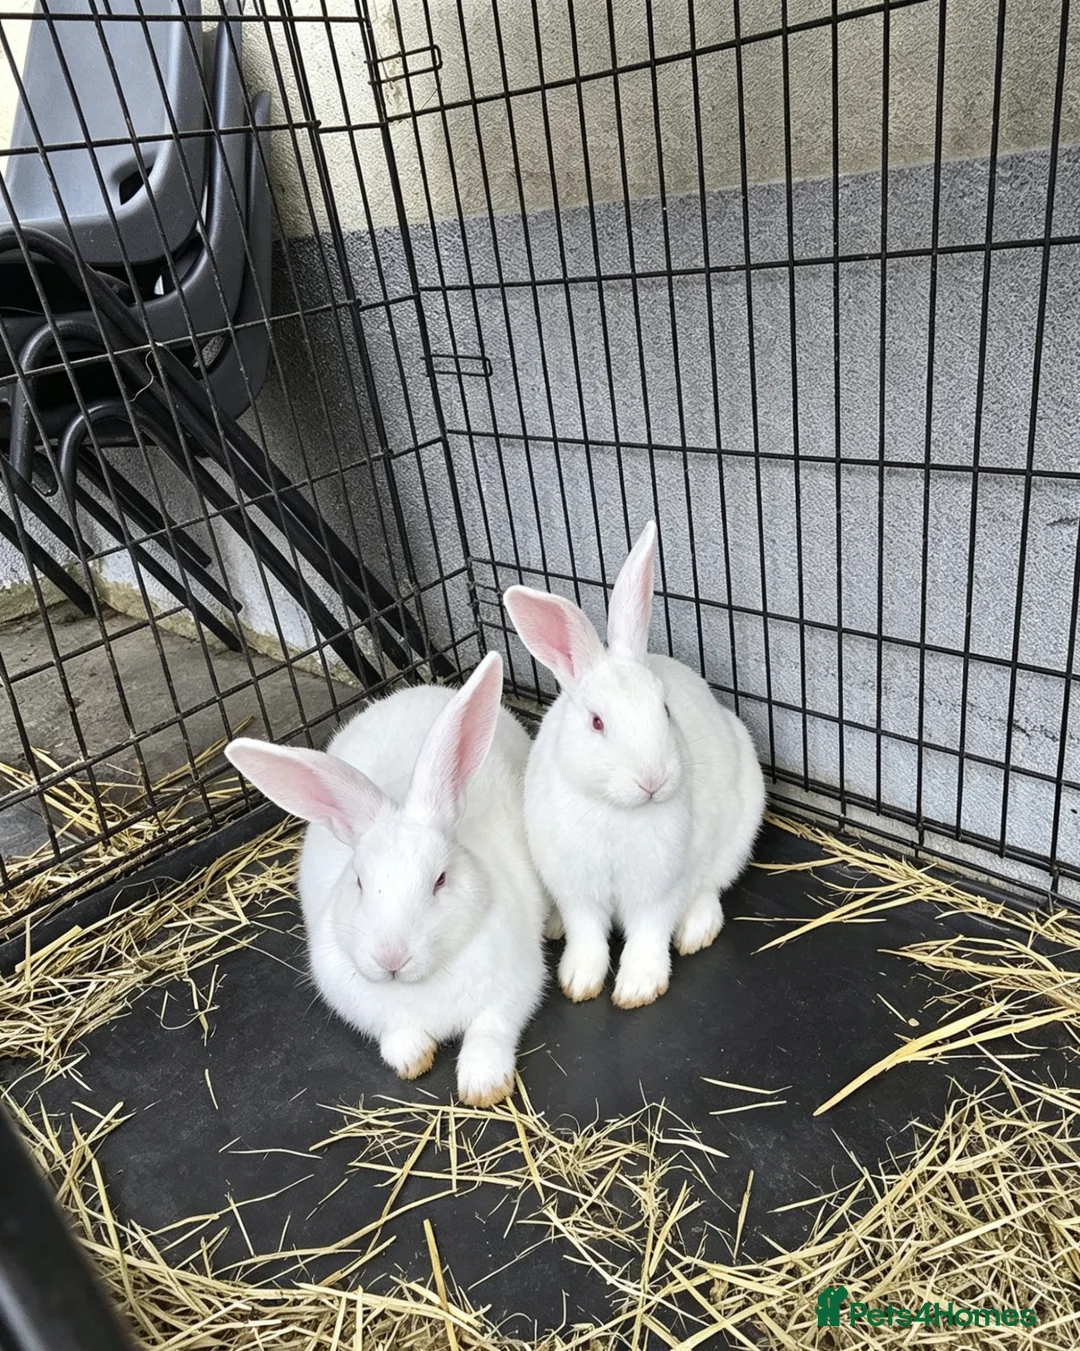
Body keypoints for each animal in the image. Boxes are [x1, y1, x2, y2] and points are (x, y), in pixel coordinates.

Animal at [224, 653, 546, 1107]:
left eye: (440, 880)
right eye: (359, 882)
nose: (391, 959)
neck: (424, 981)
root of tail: (414, 688)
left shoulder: (514, 989)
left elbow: (489, 1032)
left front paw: (483, 1088)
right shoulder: (361, 1003)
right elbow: (398, 1034)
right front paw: (415, 1059)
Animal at [503, 521, 765, 1010]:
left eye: (664, 708)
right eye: (597, 722)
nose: (653, 780)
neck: (615, 809)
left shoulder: (659, 889)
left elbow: (649, 933)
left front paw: (638, 988)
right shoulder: (577, 889)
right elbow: (587, 935)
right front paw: (579, 982)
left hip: (739, 832)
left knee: (710, 888)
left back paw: (696, 930)